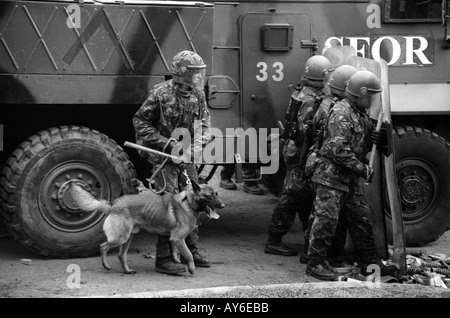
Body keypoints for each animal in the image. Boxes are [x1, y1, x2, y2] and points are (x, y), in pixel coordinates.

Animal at [70, 180, 225, 274]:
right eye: (210, 196)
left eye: (217, 194)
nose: (223, 205)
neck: (187, 202)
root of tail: (114, 205)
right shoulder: (178, 238)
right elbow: (188, 254)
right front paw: (192, 268)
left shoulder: (175, 239)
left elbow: (175, 250)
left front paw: (175, 259)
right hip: (121, 238)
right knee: (103, 246)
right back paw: (106, 265)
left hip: (128, 237)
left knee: (121, 255)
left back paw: (127, 270)